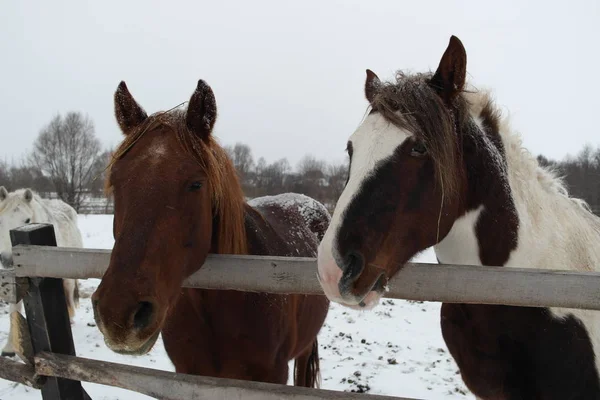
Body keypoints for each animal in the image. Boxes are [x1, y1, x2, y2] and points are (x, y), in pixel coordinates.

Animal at [0, 187, 82, 356]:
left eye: (27, 220)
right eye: (0, 221)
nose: (7, 260)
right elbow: (14, 307)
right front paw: (9, 348)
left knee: (68, 291)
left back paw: (70, 318)